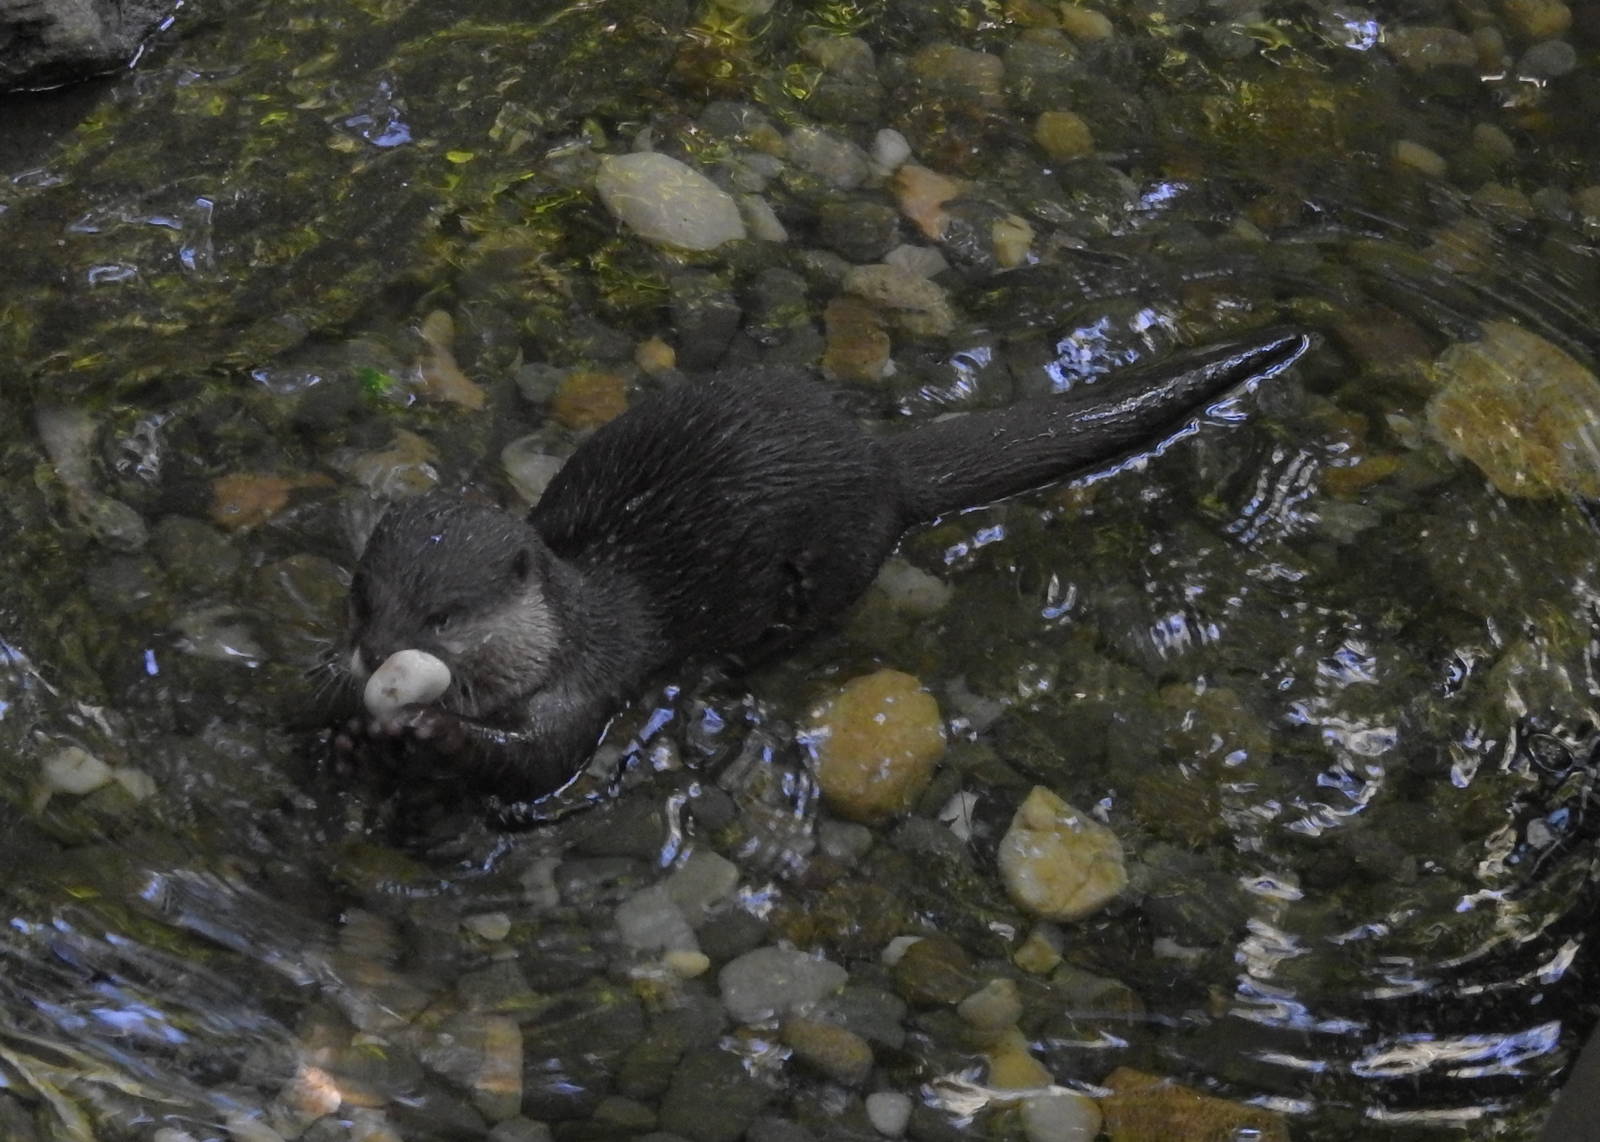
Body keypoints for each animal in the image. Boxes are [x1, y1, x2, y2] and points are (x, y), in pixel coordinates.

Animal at [346, 327, 1312, 807]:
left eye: (441, 616)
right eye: (364, 597)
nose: (376, 654)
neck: (562, 633)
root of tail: (879, 463)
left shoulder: (587, 686)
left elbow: (536, 765)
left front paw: (435, 734)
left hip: (837, 557)